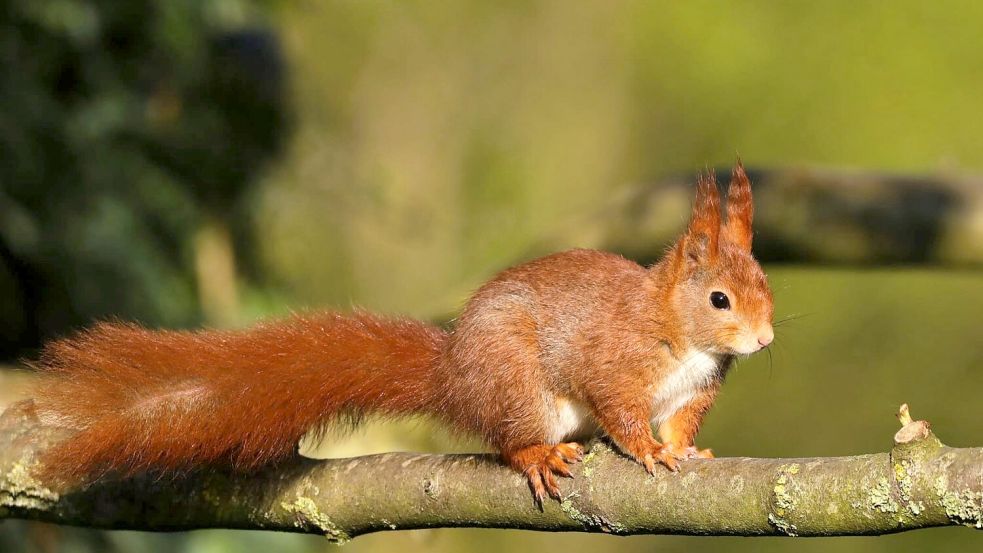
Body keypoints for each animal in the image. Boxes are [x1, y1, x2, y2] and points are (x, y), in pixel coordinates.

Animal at [29, 161, 774, 504]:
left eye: (766, 284)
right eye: (719, 299)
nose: (765, 342)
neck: (677, 331)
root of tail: (453, 376)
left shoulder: (693, 391)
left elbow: (679, 423)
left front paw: (685, 451)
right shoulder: (612, 361)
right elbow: (619, 408)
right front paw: (645, 449)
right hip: (516, 386)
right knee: (510, 440)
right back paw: (536, 455)